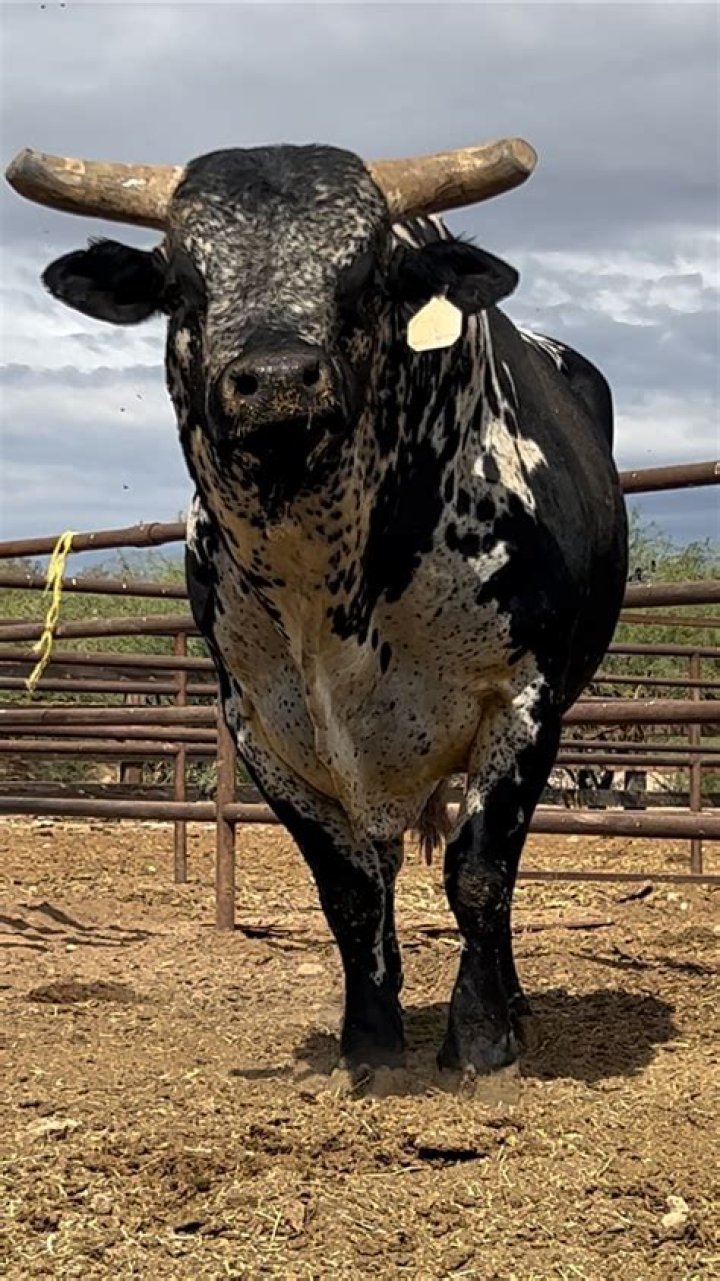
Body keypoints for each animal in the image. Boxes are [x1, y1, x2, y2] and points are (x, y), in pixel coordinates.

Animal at [6, 137, 628, 1083]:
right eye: (181, 277)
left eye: (367, 271)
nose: (274, 381)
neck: (330, 585)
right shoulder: (262, 724)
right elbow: (347, 887)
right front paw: (369, 1039)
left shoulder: (523, 701)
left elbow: (480, 874)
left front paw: (482, 1041)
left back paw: (512, 1002)